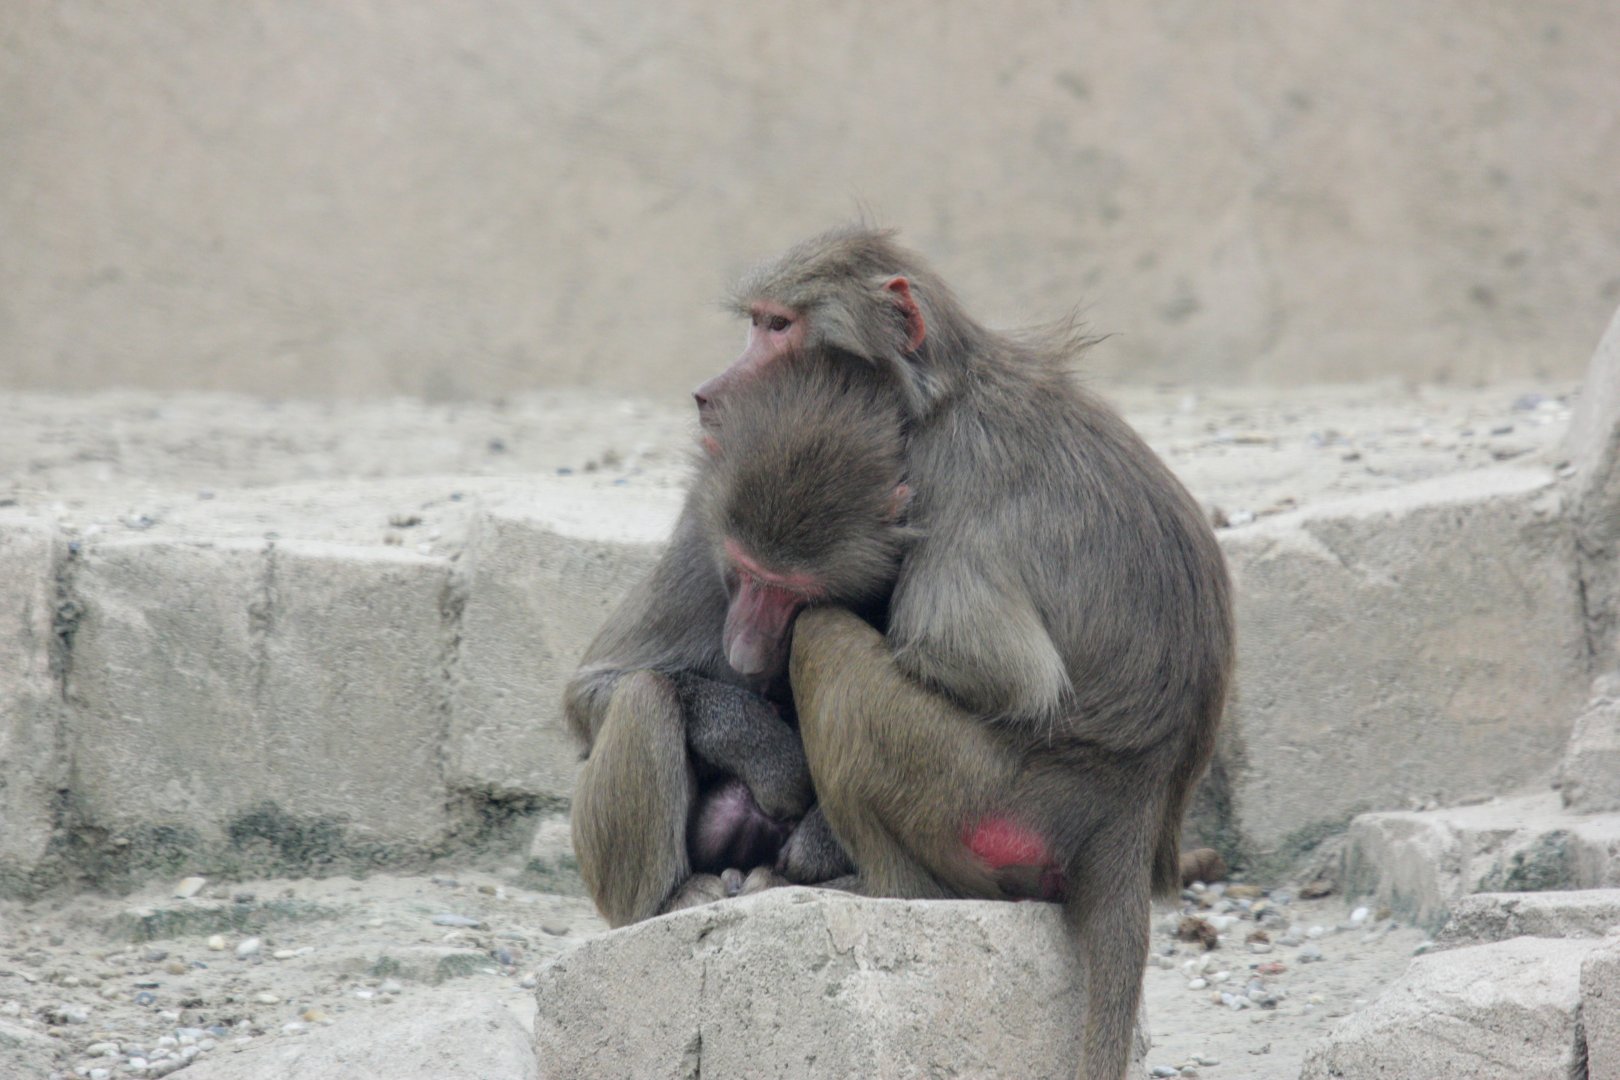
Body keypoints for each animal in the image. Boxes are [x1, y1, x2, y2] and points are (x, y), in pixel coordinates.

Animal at [566, 350, 916, 927]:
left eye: (792, 591)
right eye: (746, 571)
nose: (745, 651)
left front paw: (818, 840)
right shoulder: (695, 553)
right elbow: (588, 690)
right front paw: (768, 755)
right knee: (644, 695)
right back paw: (671, 899)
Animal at [690, 226, 1235, 1080]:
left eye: (779, 327)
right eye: (755, 321)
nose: (706, 394)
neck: (935, 395)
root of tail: (1134, 809)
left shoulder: (944, 479)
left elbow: (990, 672)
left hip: (980, 795)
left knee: (829, 647)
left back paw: (877, 887)